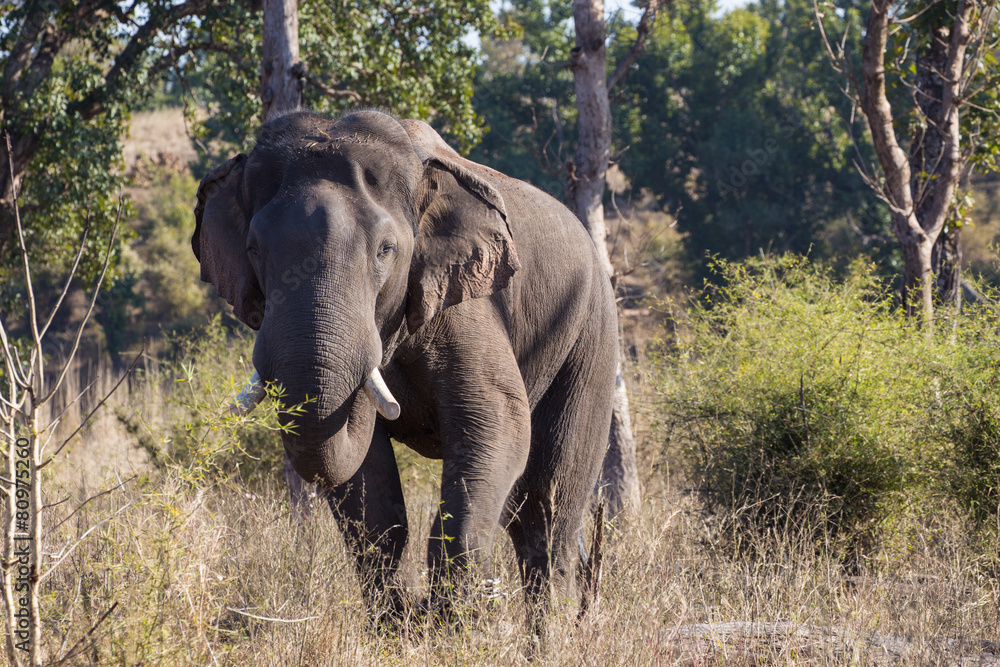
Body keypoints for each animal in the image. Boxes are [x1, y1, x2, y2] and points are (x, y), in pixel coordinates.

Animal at [192, 109, 618, 630]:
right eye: (254, 249)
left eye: (385, 250)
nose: (417, 610)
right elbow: (366, 485)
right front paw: (401, 626)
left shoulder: (462, 302)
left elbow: (496, 425)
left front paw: (448, 624)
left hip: (591, 334)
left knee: (547, 507)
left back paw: (554, 633)